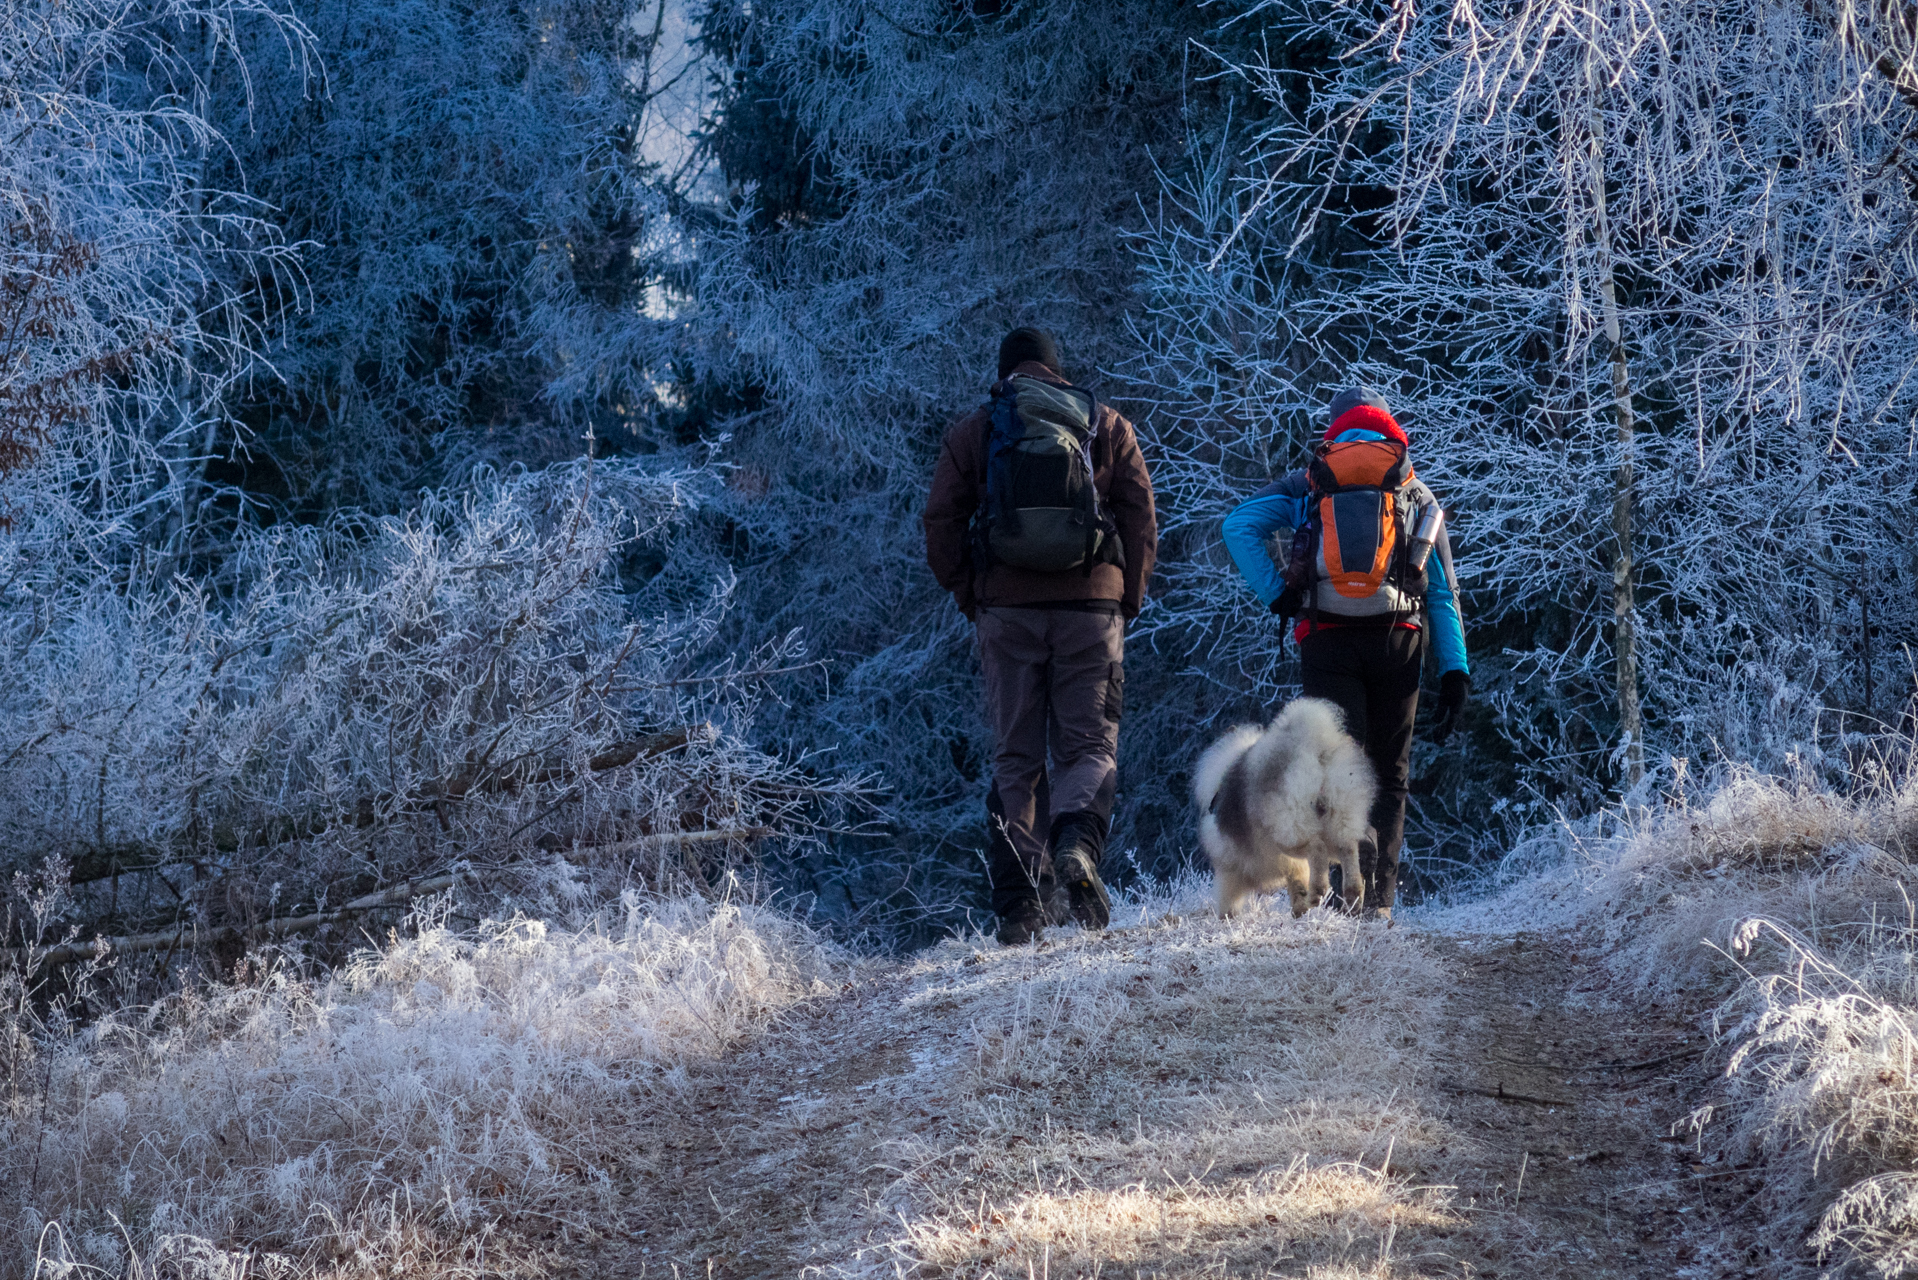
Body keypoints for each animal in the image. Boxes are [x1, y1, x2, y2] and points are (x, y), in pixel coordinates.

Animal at [1181, 694, 1380, 917]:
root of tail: (1313, 745)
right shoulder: (1294, 867)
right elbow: (1297, 887)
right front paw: (1300, 912)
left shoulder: (1230, 867)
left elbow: (1228, 897)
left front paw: (1226, 917)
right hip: (1338, 819)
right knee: (1349, 849)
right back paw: (1352, 898)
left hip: (1288, 829)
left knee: (1317, 849)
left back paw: (1318, 892)